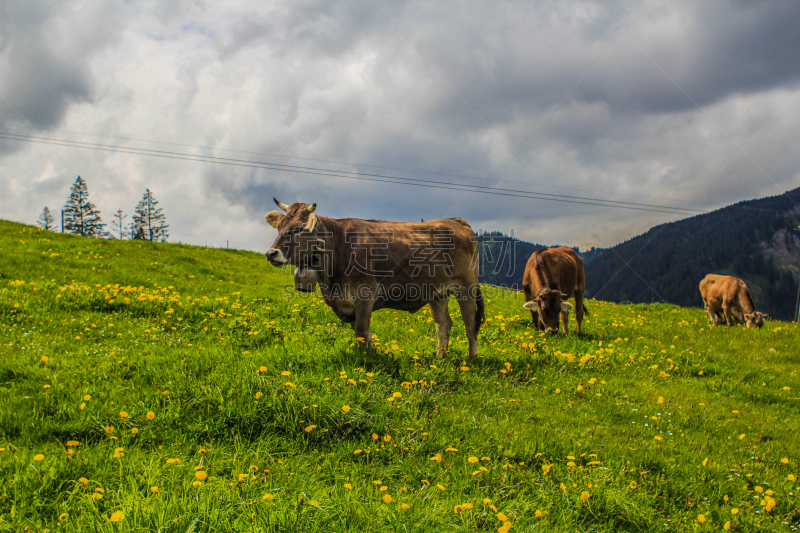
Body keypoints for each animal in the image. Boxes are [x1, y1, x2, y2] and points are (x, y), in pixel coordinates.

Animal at [266, 200, 484, 358]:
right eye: (279, 228)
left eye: (298, 229)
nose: (271, 253)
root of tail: (455, 220)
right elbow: (362, 333)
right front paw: (373, 354)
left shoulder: (365, 294)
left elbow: (362, 331)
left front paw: (370, 359)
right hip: (438, 293)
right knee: (443, 325)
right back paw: (440, 358)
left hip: (466, 288)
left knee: (470, 324)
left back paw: (471, 360)